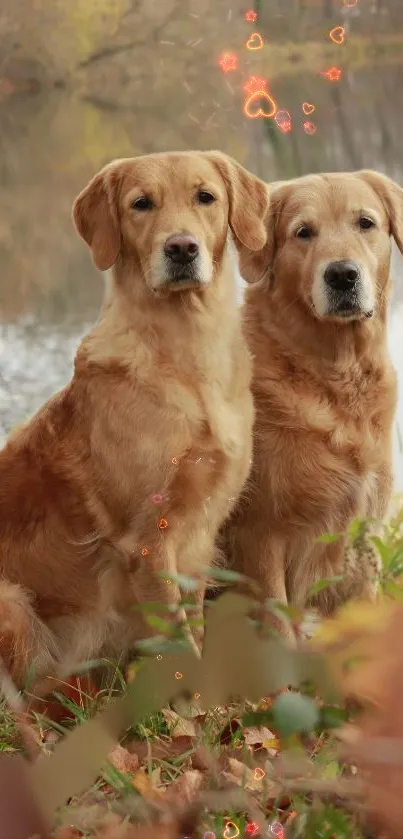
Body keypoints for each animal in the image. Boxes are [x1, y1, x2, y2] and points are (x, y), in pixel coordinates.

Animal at [0, 153, 272, 688]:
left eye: (205, 197)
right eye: (141, 204)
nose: (181, 247)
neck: (185, 350)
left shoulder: (197, 539)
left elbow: (196, 632)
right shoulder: (148, 541)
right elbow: (180, 647)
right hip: (12, 602)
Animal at [223, 171, 402, 636]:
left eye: (365, 223)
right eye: (303, 232)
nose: (342, 275)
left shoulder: (361, 540)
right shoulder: (259, 540)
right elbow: (279, 630)